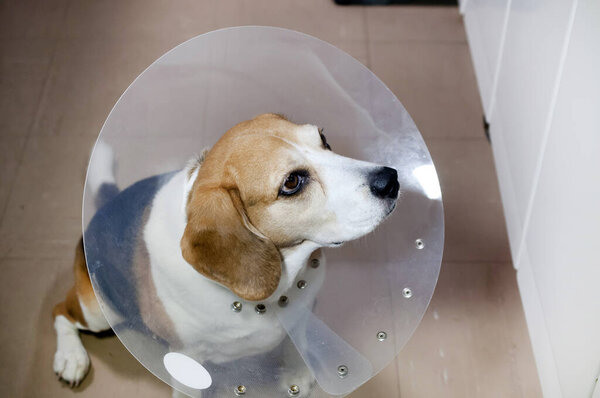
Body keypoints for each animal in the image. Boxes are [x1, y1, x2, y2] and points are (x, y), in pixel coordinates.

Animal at [52, 112, 398, 394]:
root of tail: (110, 201)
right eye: (292, 182)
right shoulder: (187, 362)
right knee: (61, 311)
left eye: (324, 139)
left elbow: (296, 338)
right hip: (98, 312)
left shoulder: (303, 309)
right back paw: (71, 357)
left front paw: (298, 371)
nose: (391, 179)